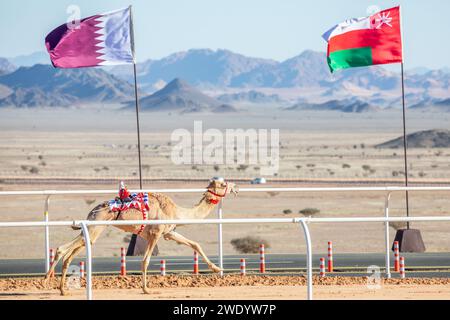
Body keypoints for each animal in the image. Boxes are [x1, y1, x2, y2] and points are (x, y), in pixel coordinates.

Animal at [43, 178, 239, 296]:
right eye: (223, 184)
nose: (235, 187)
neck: (176, 212)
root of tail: (93, 211)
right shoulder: (155, 233)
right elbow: (145, 260)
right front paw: (146, 289)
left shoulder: (169, 233)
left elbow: (195, 244)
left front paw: (218, 269)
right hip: (96, 225)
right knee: (62, 248)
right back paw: (46, 279)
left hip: (94, 227)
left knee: (75, 249)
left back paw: (62, 290)